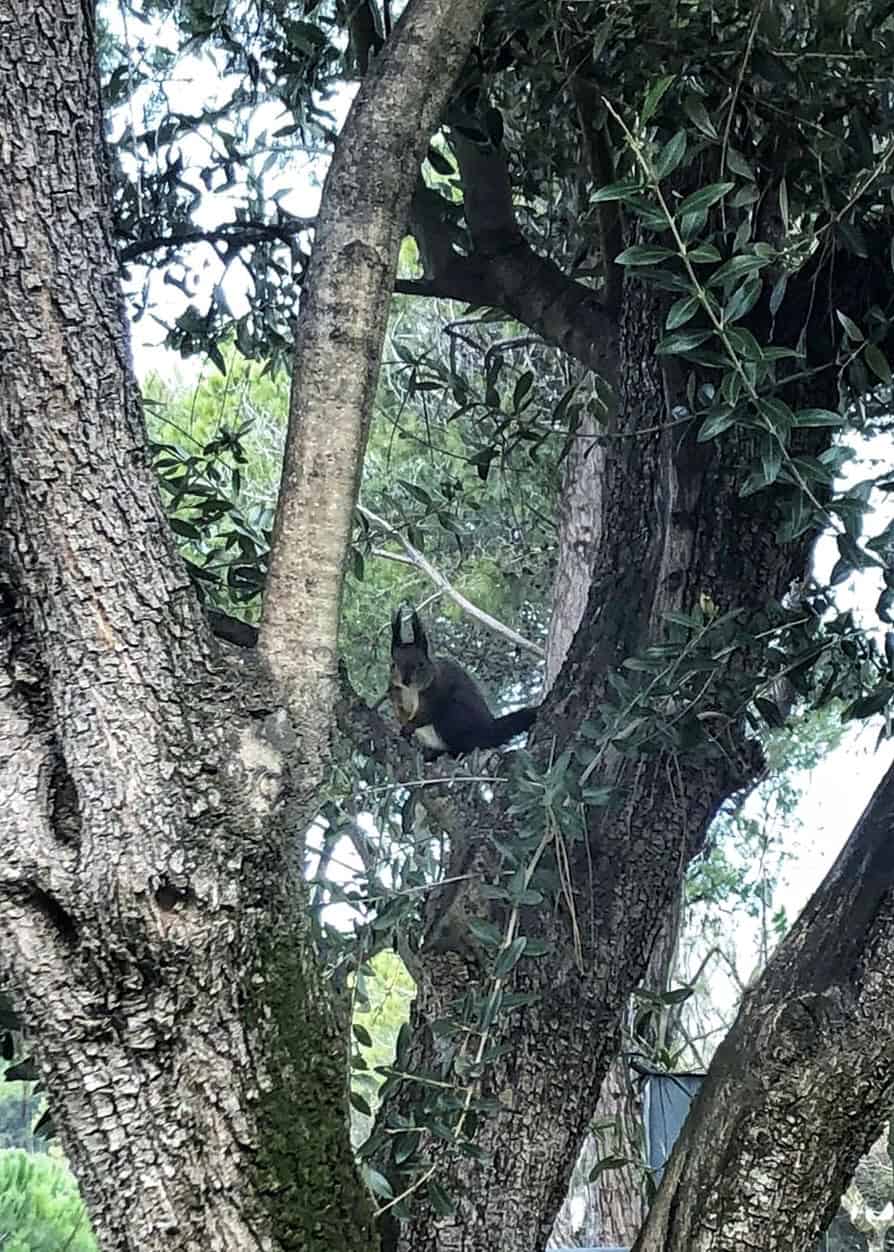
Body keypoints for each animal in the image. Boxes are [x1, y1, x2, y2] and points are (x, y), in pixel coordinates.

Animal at [389, 606, 537, 758]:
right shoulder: (396, 694)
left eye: (421, 664)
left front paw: (408, 728)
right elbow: (401, 713)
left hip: (453, 716)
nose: (405, 680)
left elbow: (426, 715)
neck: (411, 690)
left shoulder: (436, 692)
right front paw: (404, 729)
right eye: (393, 664)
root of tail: (488, 730)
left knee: (465, 745)